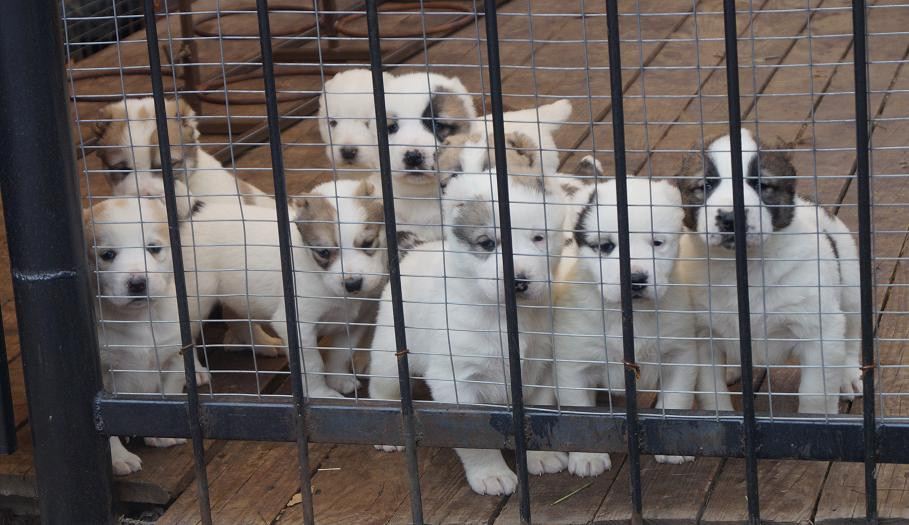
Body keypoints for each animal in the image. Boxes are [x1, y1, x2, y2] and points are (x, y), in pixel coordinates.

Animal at [368, 136, 568, 496]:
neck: (505, 319)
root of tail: (417, 249)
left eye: (538, 237)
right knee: (381, 387)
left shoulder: (541, 368)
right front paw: (490, 473)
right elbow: (476, 437)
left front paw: (540, 457)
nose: (519, 281)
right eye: (487, 243)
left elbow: (538, 412)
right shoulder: (457, 382)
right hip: (389, 356)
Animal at [552, 177, 696, 474]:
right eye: (606, 246)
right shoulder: (573, 363)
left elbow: (676, 398)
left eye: (657, 242)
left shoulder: (680, 354)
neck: (630, 316)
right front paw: (588, 457)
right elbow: (579, 412)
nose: (636, 279)